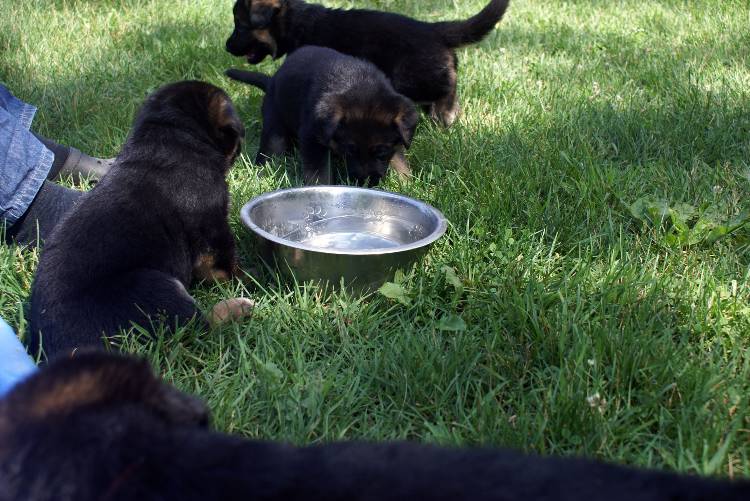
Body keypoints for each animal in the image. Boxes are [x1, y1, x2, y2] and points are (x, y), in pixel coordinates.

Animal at [27, 81, 254, 360]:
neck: (169, 139)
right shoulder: (212, 229)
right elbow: (227, 263)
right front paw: (251, 278)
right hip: (155, 286)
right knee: (196, 329)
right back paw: (237, 309)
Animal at [226, 0, 516, 126]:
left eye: (240, 26)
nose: (227, 47)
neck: (297, 22)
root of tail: (433, 30)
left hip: (411, 78)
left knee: (445, 86)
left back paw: (445, 113)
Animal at [226, 45, 420, 184]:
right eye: (350, 151)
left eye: (382, 152)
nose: (365, 183)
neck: (360, 82)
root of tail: (272, 80)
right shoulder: (312, 137)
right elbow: (319, 172)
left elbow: (399, 159)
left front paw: (406, 182)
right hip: (274, 124)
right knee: (271, 148)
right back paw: (263, 171)